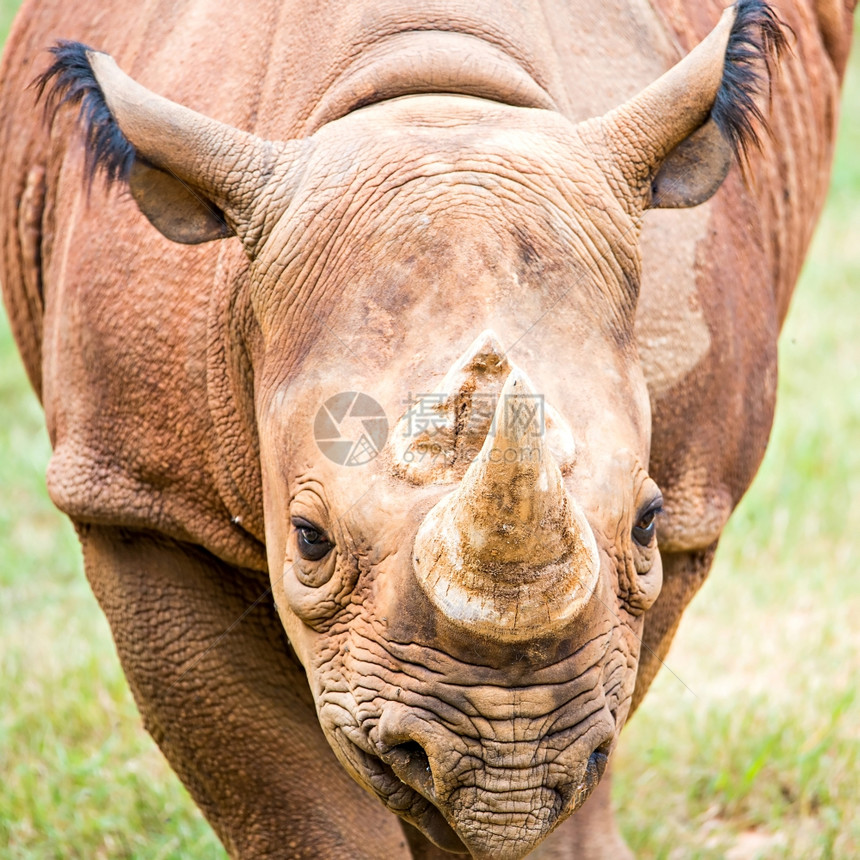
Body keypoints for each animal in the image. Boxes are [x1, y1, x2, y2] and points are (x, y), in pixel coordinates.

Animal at [0, 0, 852, 856]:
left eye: (646, 521)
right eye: (309, 538)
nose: (505, 760)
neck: (432, 87)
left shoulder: (681, 525)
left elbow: (586, 741)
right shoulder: (141, 500)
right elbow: (302, 813)